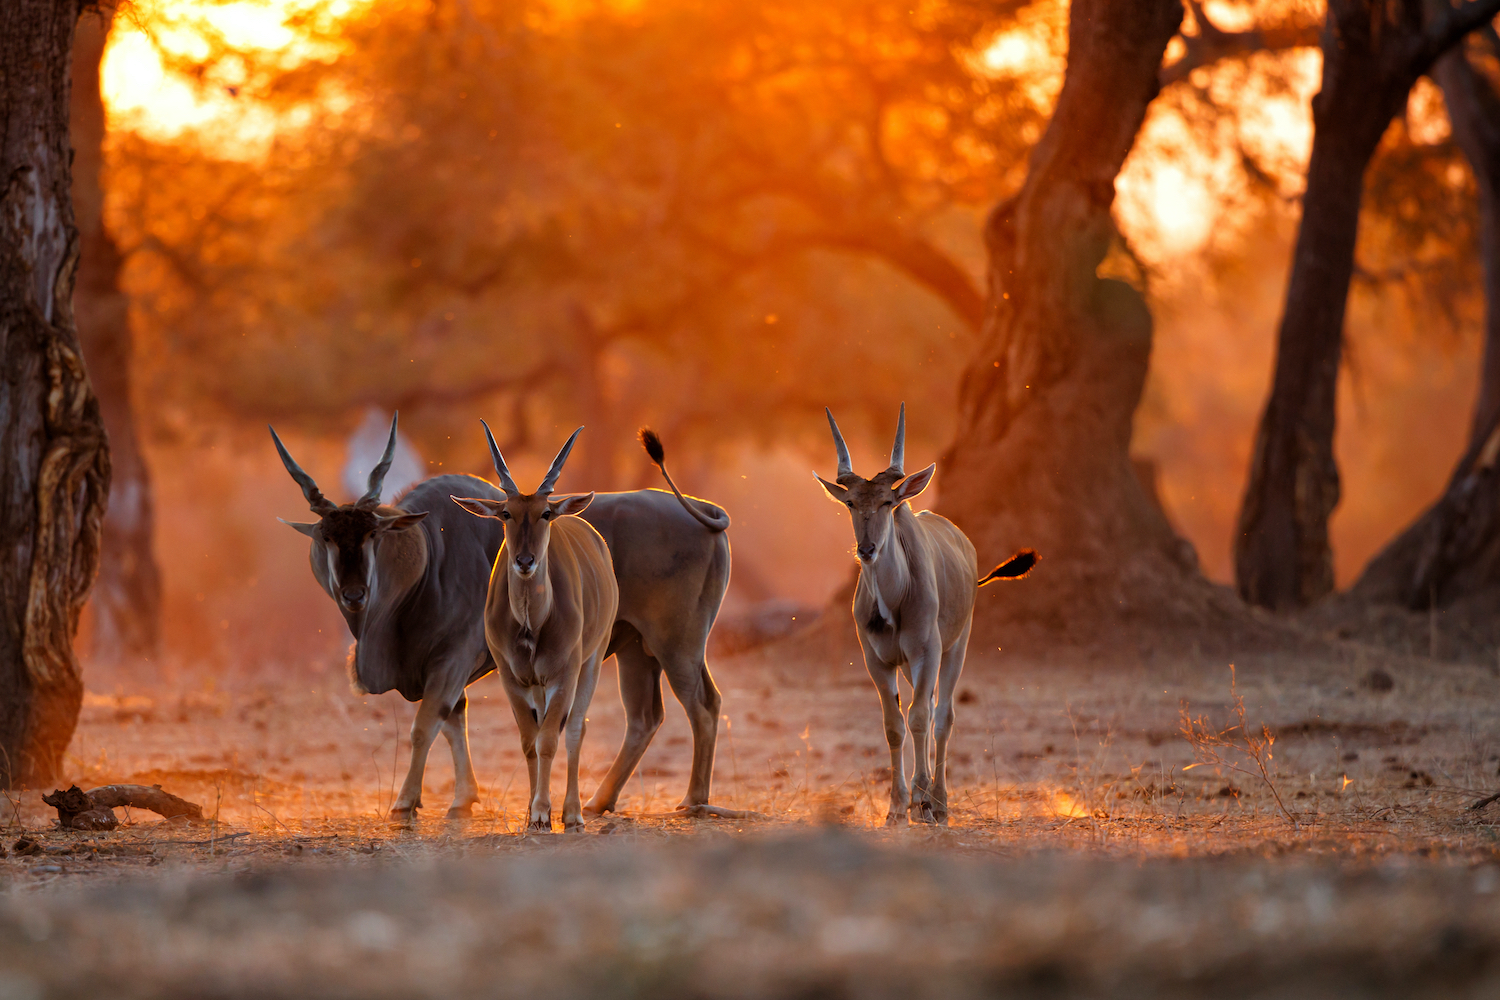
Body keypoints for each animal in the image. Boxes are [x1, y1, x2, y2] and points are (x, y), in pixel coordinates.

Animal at [456, 425, 621, 833]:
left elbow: (550, 739)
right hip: (538, 684)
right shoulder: (512, 677)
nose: (525, 560)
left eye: (545, 513)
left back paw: (573, 813)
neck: (531, 623)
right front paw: (534, 814)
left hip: (592, 661)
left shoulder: (564, 673)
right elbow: (529, 740)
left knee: (575, 729)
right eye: (506, 513)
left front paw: (547, 811)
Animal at [822, 401, 1032, 827]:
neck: (893, 599)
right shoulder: (878, 662)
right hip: (911, 665)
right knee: (929, 713)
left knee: (942, 717)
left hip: (955, 648)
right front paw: (896, 807)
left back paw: (939, 801)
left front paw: (921, 801)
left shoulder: (927, 652)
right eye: (851, 503)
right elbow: (894, 725)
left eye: (888, 502)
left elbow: (920, 717)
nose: (866, 549)